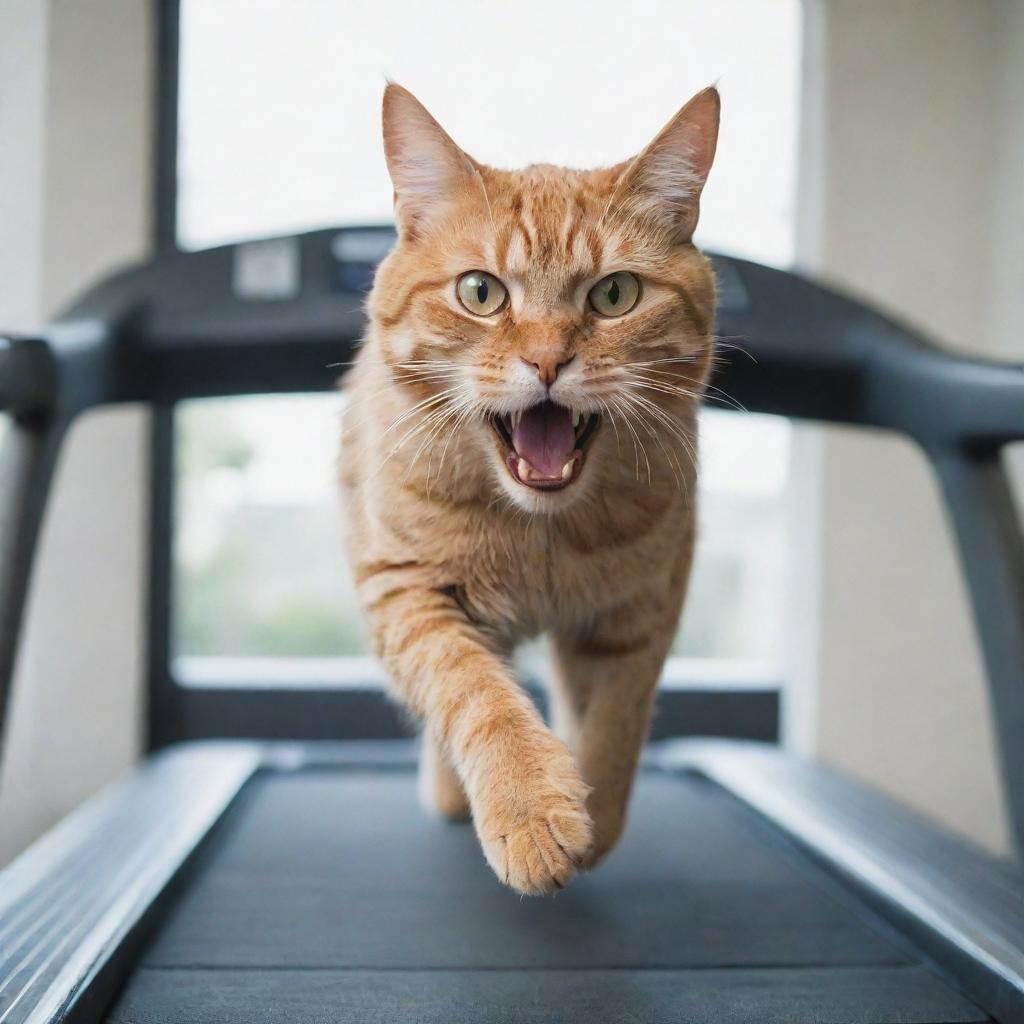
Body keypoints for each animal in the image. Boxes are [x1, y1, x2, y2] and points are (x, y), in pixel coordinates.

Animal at [339, 83, 716, 892]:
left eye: (615, 294)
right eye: (480, 293)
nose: (547, 361)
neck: (541, 531)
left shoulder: (641, 611)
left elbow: (614, 723)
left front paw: (594, 814)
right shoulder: (408, 592)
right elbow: (476, 695)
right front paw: (529, 805)